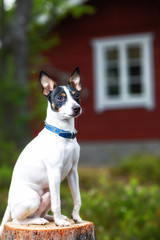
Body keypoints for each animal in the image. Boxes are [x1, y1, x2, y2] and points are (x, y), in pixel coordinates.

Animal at [0, 65, 82, 236]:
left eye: (76, 95)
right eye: (60, 98)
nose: (76, 108)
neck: (64, 134)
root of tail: (9, 203)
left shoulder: (73, 172)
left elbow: (77, 198)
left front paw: (76, 217)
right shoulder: (55, 173)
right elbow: (58, 203)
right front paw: (60, 223)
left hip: (48, 192)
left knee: (40, 213)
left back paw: (50, 218)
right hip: (33, 198)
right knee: (17, 219)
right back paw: (42, 221)